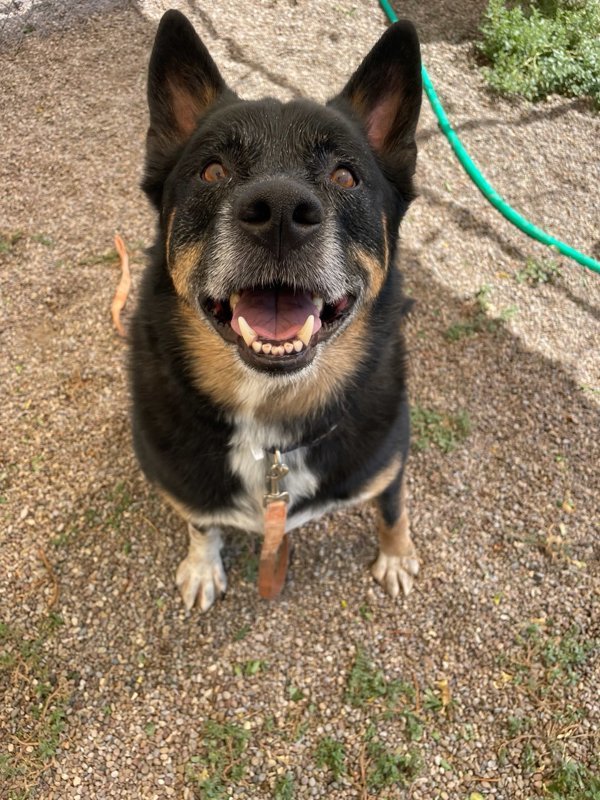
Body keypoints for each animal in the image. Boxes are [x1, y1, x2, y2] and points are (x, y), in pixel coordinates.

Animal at [131, 7, 422, 612]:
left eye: (345, 175)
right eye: (212, 171)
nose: (282, 213)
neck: (271, 425)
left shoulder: (391, 457)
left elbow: (392, 506)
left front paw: (396, 554)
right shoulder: (179, 479)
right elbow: (200, 520)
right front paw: (202, 564)